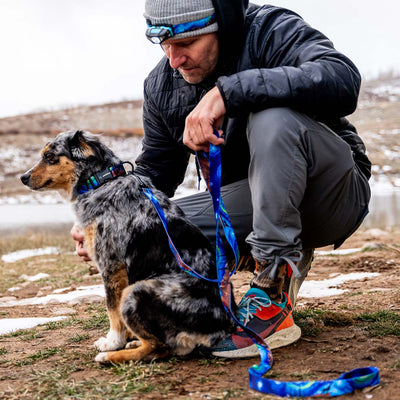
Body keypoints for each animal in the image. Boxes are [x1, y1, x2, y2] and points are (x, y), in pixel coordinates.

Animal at [19, 130, 238, 362]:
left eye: (50, 156)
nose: (23, 177)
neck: (100, 182)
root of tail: (221, 327)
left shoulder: (111, 267)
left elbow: (112, 311)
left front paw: (113, 342)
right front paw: (124, 337)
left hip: (136, 291)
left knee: (159, 348)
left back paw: (111, 357)